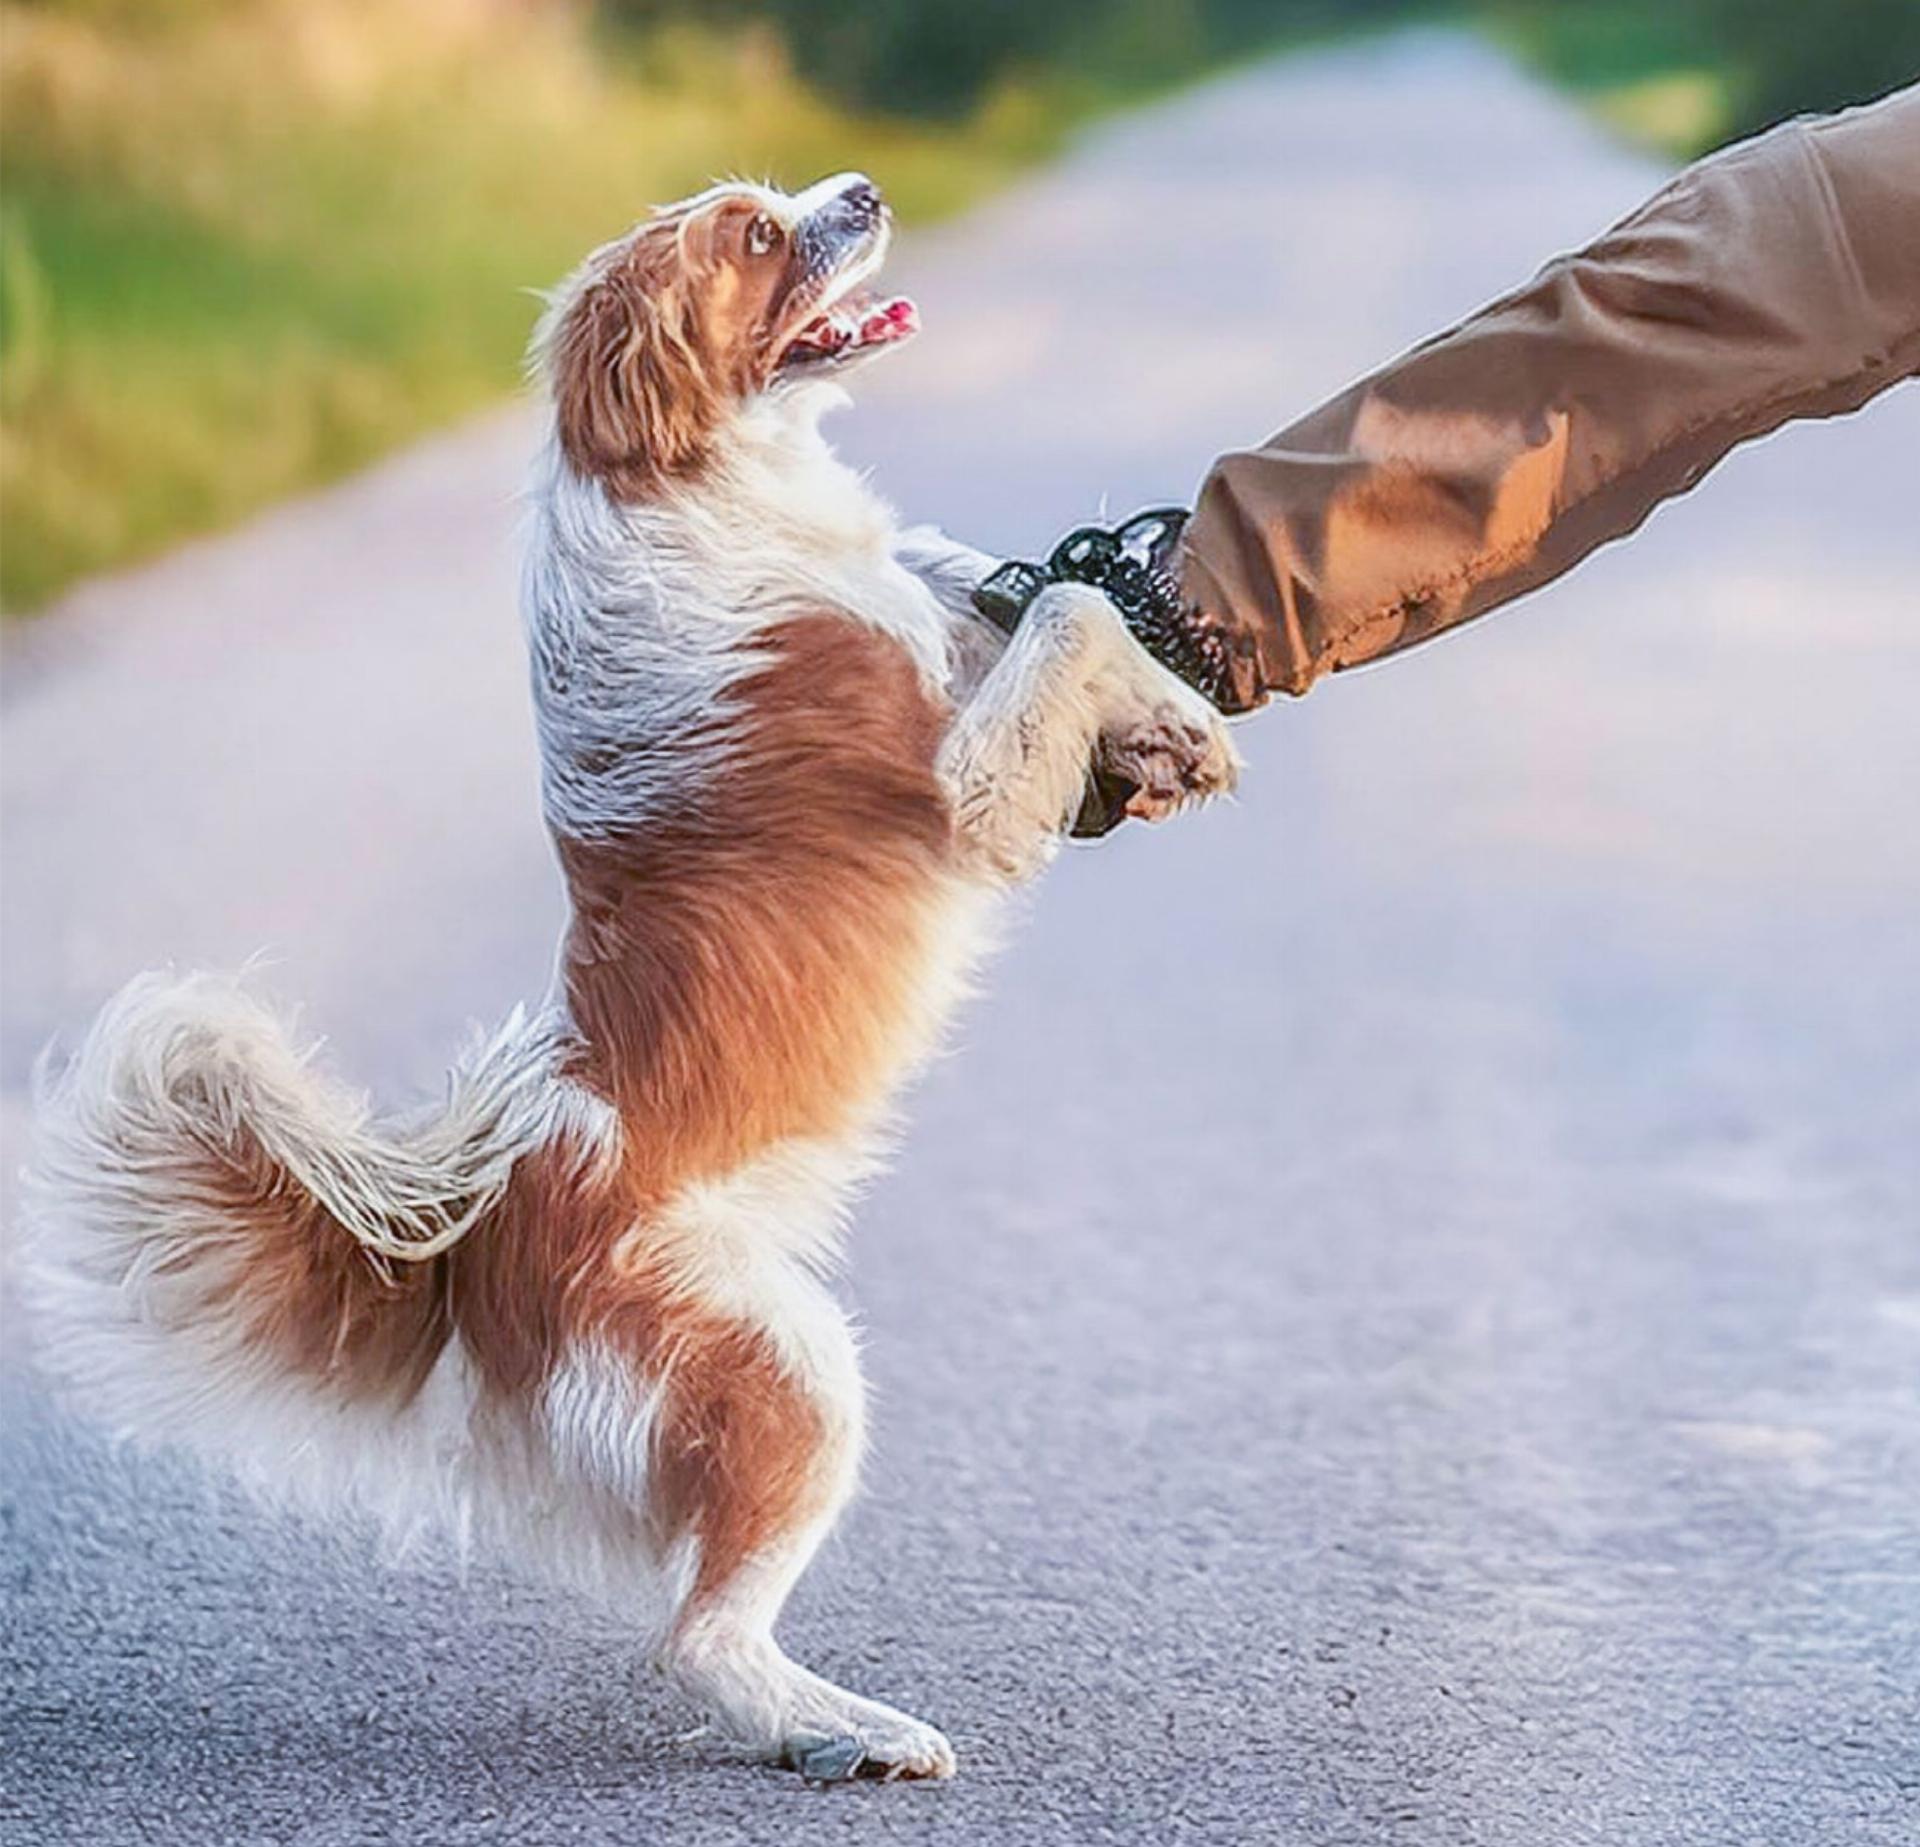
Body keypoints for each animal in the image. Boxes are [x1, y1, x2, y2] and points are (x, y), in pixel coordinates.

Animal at [26, 172, 1244, 1774]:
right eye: (752, 234)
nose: (860, 189)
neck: (699, 484)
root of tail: (472, 1243)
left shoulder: (930, 605)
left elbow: (982, 577)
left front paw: (1155, 703)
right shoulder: (971, 790)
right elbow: (1065, 615)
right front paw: (1162, 703)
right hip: (794, 1368)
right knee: (703, 1635)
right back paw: (849, 1730)